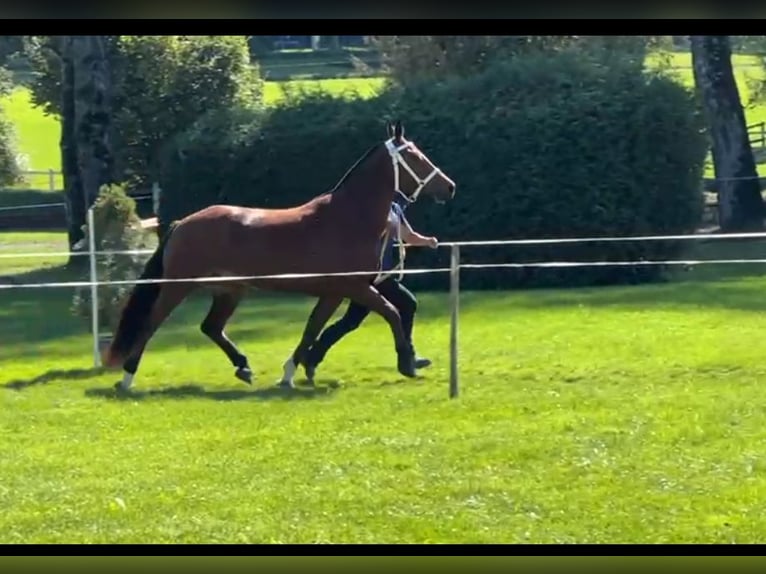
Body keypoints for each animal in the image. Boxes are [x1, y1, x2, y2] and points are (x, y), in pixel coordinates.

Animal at [105, 121, 460, 392]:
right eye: (415, 157)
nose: (450, 187)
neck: (347, 218)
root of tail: (181, 224)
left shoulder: (334, 293)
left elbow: (312, 329)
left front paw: (291, 373)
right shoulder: (355, 288)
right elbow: (392, 313)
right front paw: (407, 364)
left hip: (230, 290)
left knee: (211, 327)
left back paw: (244, 367)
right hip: (178, 286)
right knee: (151, 324)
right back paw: (127, 378)